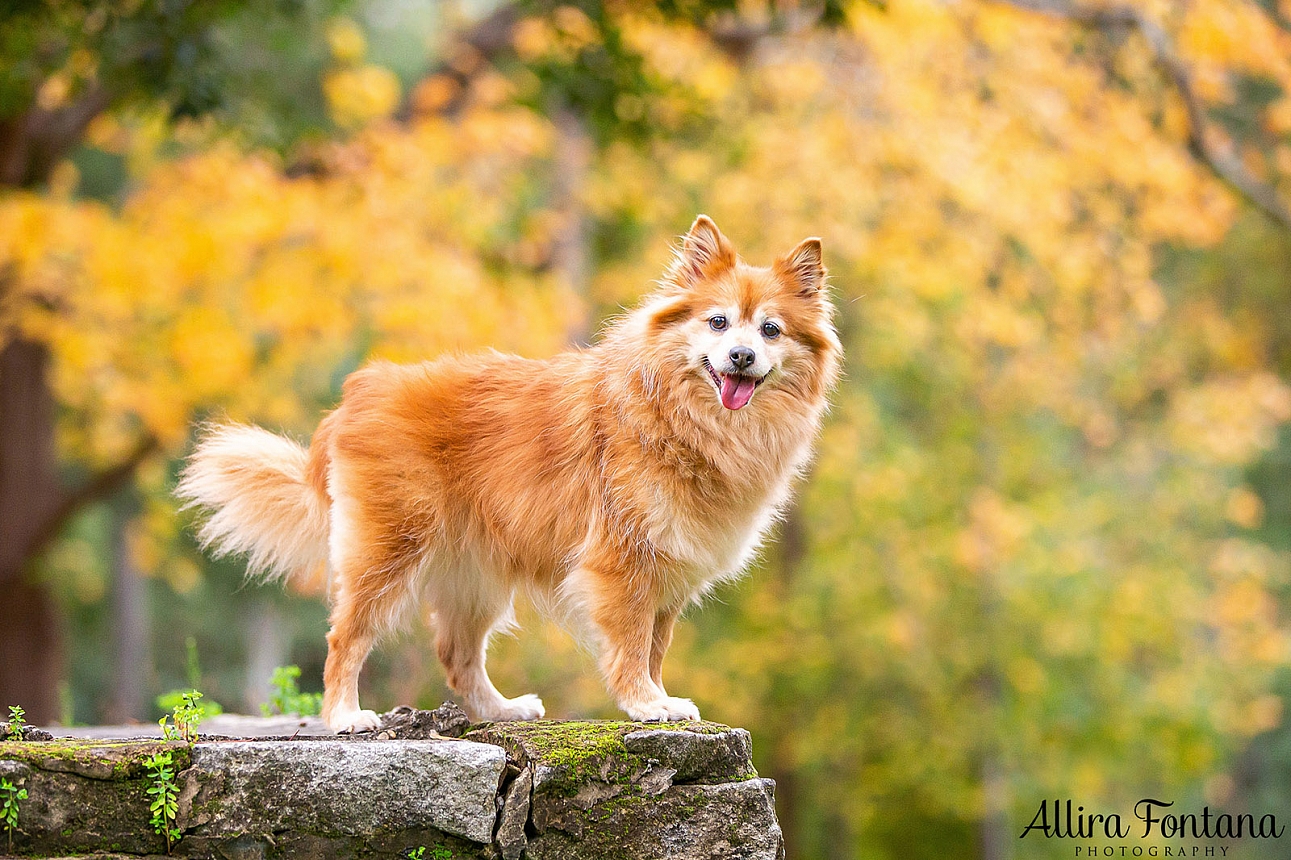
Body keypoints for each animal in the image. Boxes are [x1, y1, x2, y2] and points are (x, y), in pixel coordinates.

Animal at [176, 215, 841, 728]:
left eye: (770, 329)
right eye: (718, 322)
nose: (742, 356)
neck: (692, 422)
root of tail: (358, 394)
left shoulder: (668, 573)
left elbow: (655, 647)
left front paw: (658, 698)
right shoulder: (622, 564)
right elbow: (631, 646)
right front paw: (646, 705)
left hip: (476, 576)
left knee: (457, 654)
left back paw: (499, 711)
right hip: (388, 551)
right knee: (347, 638)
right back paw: (344, 716)